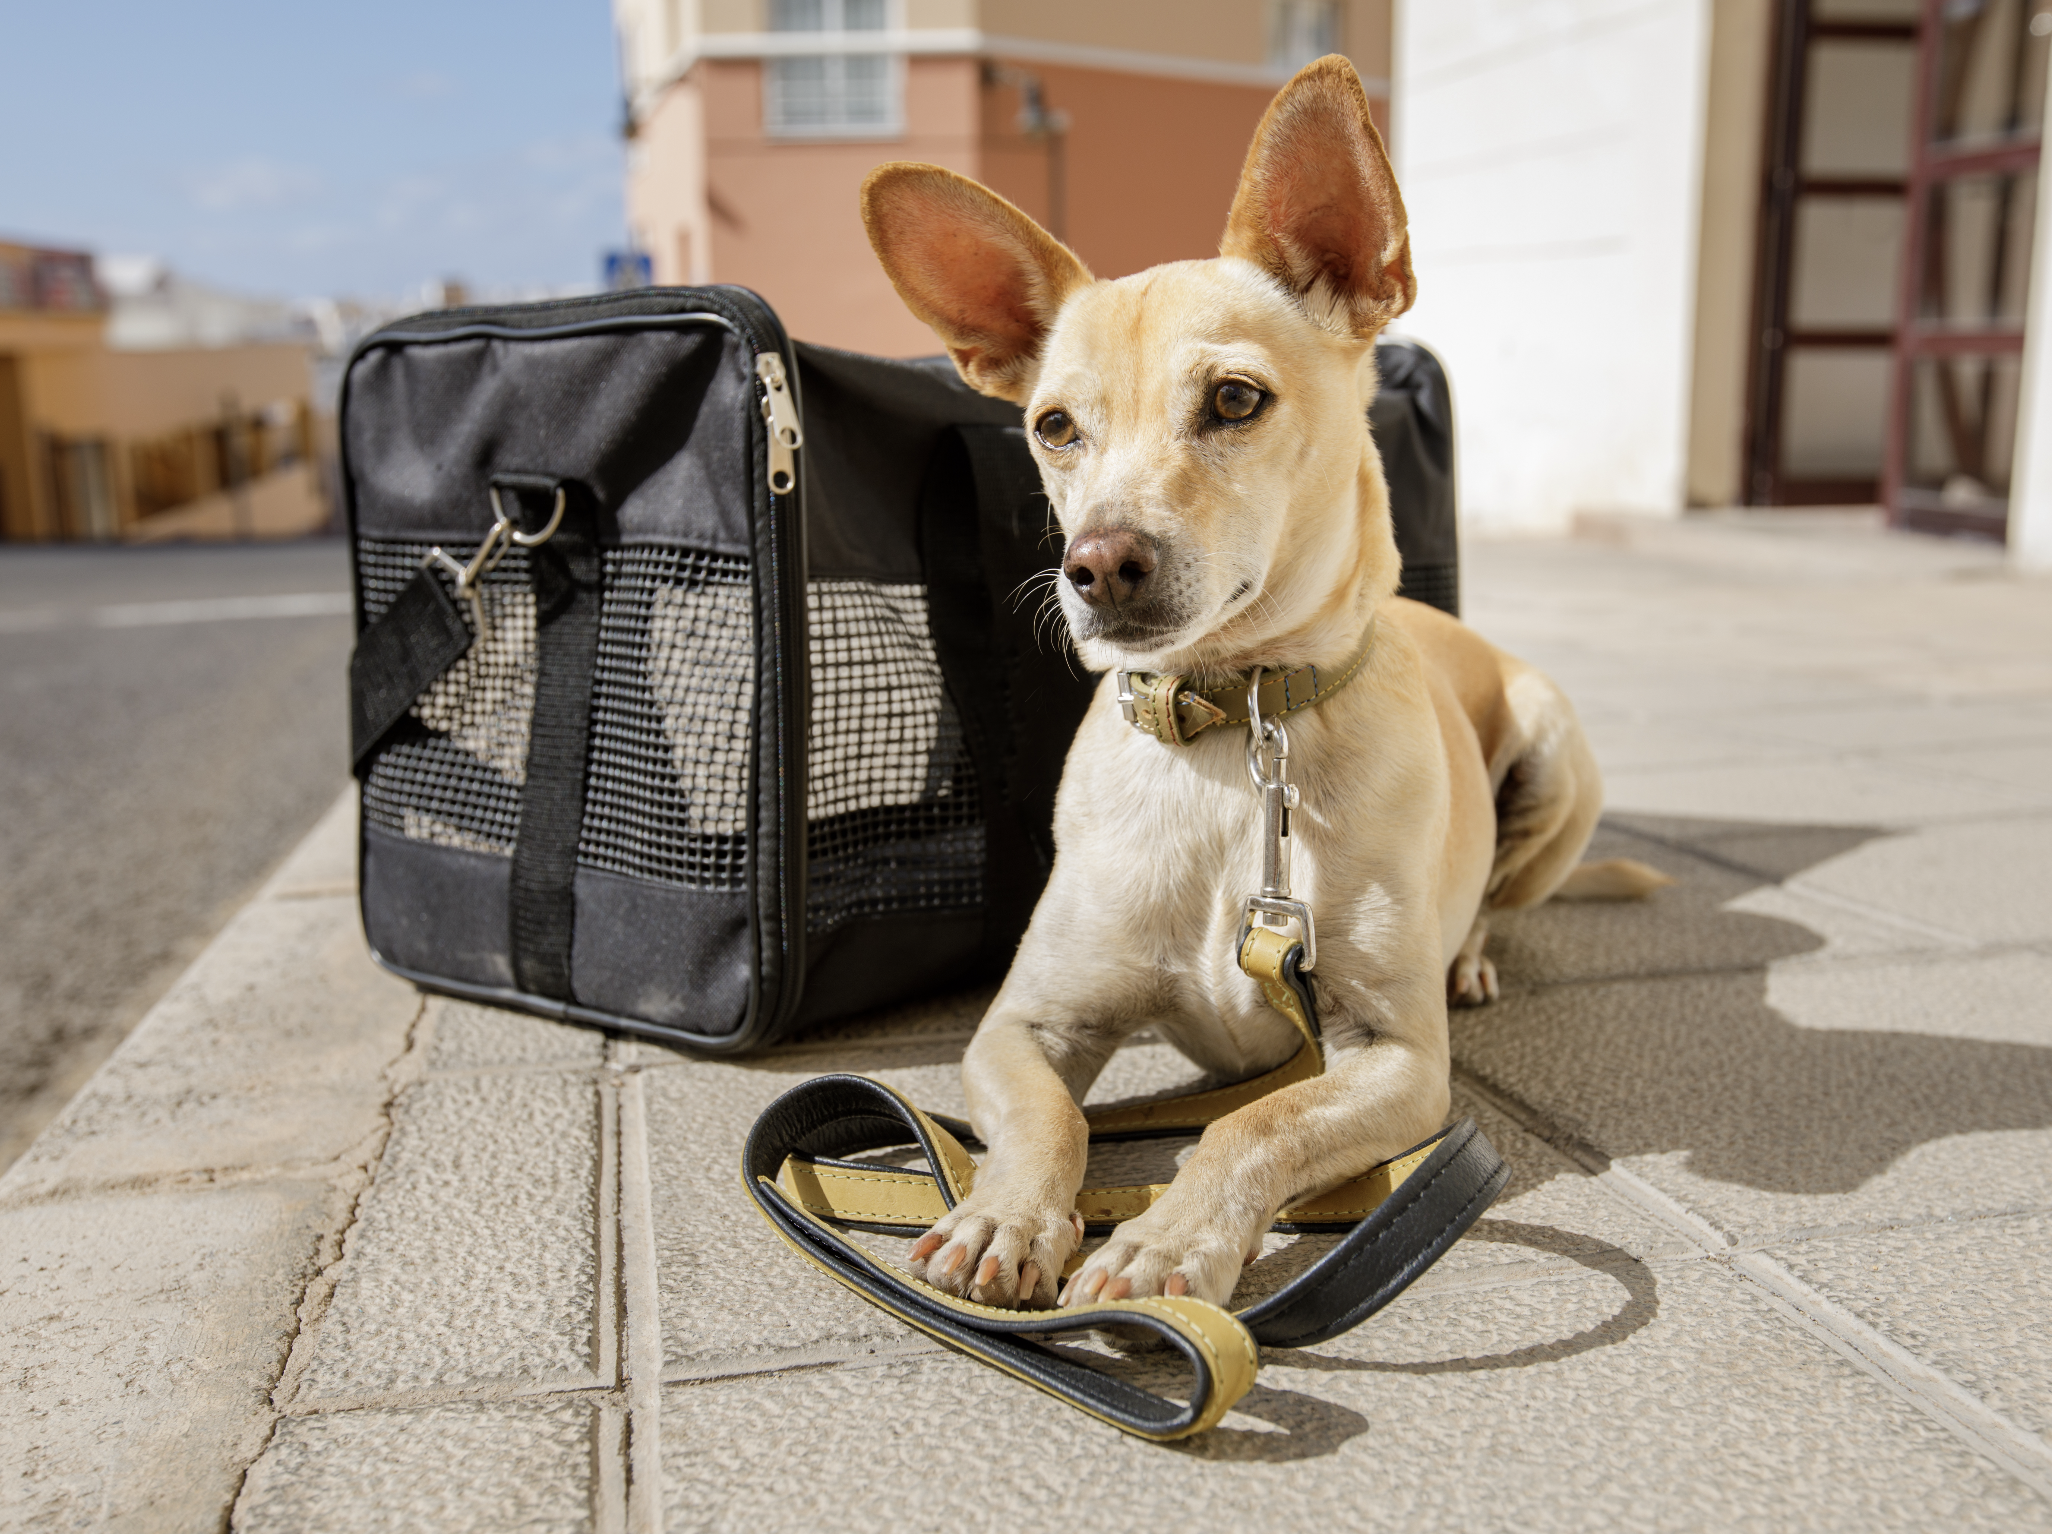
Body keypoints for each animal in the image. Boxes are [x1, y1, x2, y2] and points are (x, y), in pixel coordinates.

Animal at [857, 56, 1658, 1304]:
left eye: (1234, 400)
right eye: (1053, 426)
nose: (1098, 564)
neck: (1233, 734)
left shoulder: (1396, 1059)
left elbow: (1252, 1124)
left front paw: (1167, 1239)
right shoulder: (1020, 1025)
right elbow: (1046, 1120)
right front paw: (1003, 1213)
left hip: (1553, 755)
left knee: (1496, 896)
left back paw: (1473, 951)